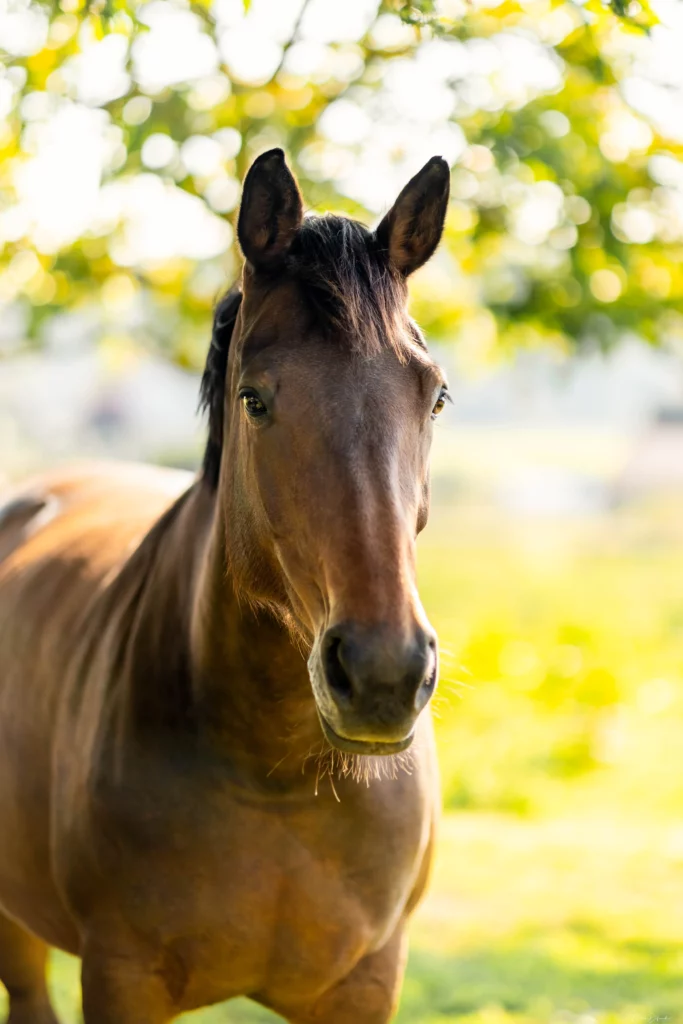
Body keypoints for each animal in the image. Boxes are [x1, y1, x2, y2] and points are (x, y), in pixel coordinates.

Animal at [0, 148, 450, 1019]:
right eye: (255, 399)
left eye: (435, 397)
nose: (383, 675)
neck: (278, 780)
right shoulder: (122, 978)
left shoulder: (367, 983)